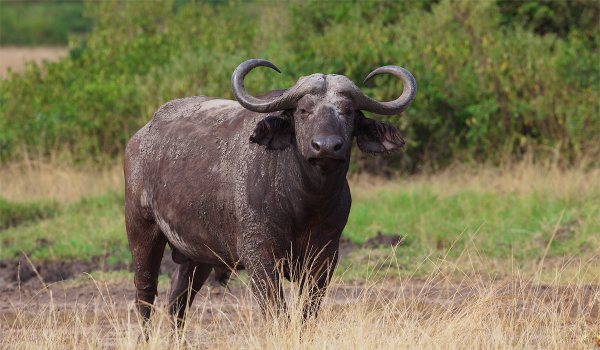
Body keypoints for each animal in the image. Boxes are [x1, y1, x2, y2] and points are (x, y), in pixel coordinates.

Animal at [124, 58, 414, 326]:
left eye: (348, 111)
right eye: (303, 110)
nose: (326, 146)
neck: (305, 202)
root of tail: (139, 138)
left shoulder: (325, 256)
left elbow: (307, 313)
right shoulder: (260, 256)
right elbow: (277, 312)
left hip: (196, 254)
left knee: (178, 301)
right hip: (141, 229)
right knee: (145, 294)